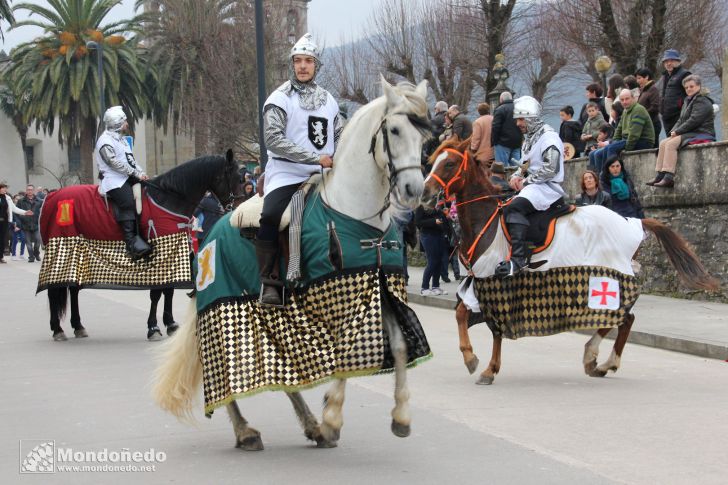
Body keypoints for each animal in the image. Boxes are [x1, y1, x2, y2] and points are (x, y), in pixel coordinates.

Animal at [45, 149, 242, 338]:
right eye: (238, 178)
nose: (237, 209)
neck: (167, 199)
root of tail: (53, 195)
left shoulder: (173, 250)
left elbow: (168, 289)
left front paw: (170, 324)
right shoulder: (161, 251)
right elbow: (156, 293)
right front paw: (153, 327)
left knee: (73, 289)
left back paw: (78, 326)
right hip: (63, 249)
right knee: (53, 289)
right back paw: (57, 329)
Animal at [151, 76, 430, 450]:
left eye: (424, 137)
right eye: (396, 130)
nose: (414, 189)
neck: (354, 210)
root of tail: (213, 230)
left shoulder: (378, 287)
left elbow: (398, 347)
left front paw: (400, 417)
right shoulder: (339, 297)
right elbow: (345, 352)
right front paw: (332, 418)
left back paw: (309, 425)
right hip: (224, 303)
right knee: (222, 363)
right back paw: (246, 431)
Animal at [420, 138, 716, 384]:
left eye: (449, 163)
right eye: (434, 160)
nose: (425, 194)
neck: (486, 220)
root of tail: (631, 221)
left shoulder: (494, 282)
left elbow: (495, 329)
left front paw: (487, 368)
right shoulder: (475, 280)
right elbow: (461, 313)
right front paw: (471, 358)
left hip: (606, 278)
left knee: (623, 317)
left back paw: (602, 360)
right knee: (622, 317)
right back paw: (596, 360)